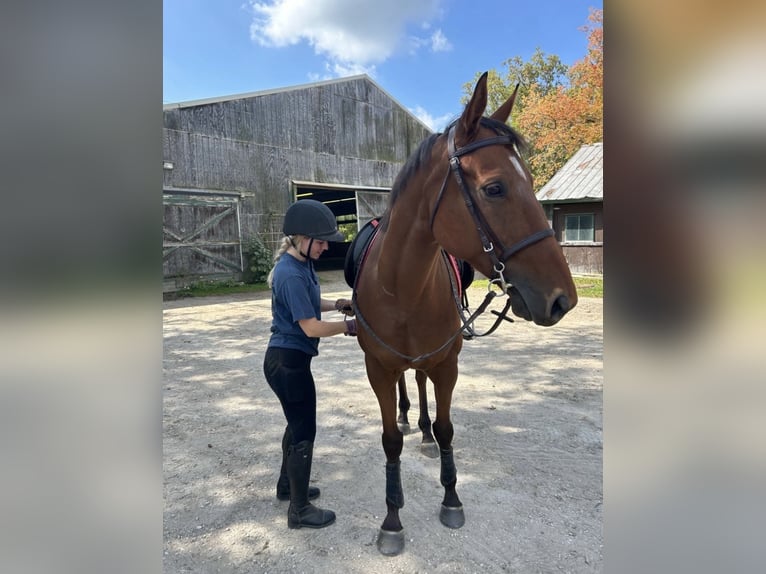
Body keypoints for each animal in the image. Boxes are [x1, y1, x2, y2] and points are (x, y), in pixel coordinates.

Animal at [351, 72, 578, 556]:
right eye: (495, 188)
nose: (562, 299)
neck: (402, 287)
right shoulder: (376, 369)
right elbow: (390, 441)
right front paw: (392, 519)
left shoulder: (447, 365)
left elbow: (447, 428)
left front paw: (451, 497)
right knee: (406, 386)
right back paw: (407, 418)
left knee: (419, 383)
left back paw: (421, 430)